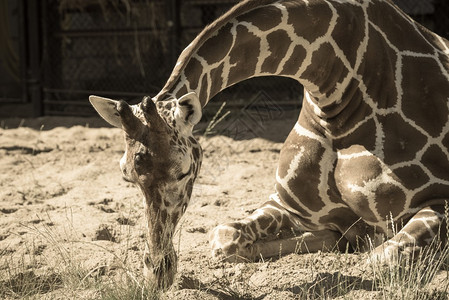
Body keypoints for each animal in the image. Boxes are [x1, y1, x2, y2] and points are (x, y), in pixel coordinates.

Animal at [88, 0, 448, 290]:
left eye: (184, 172)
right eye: (126, 175)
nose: (158, 273)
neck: (336, 94)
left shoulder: (440, 202)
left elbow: (381, 258)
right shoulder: (288, 206)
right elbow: (225, 238)